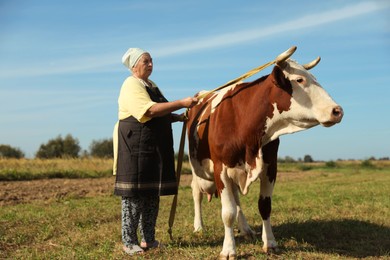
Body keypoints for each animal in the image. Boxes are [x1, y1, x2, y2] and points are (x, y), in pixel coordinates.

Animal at [186, 46, 342, 258]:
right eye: (299, 80)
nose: (337, 111)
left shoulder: (270, 166)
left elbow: (264, 207)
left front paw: (270, 242)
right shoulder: (221, 169)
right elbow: (227, 213)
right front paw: (228, 249)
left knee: (236, 199)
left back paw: (245, 229)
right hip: (197, 169)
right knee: (197, 193)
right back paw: (198, 226)